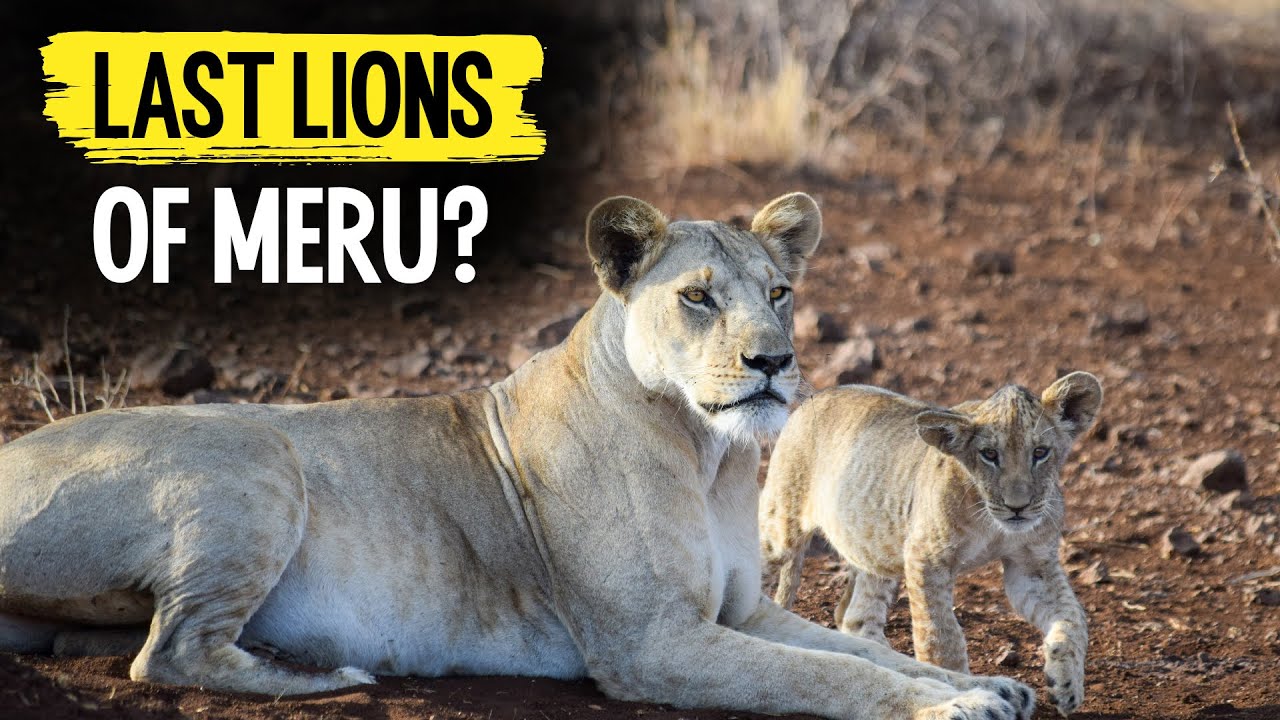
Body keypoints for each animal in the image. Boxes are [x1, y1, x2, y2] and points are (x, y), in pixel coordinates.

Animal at [0, 193, 1034, 720]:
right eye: (699, 297)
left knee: (122, 642)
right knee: (169, 652)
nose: (773, 362)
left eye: (779, 292)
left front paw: (986, 685)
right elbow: (827, 677)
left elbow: (867, 652)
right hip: (255, 453)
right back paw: (324, 678)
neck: (708, 455)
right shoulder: (649, 644)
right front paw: (950, 709)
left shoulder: (741, 612)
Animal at [760, 374, 1103, 716]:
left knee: (854, 615)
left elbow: (1072, 617)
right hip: (781, 529)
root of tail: (818, 394)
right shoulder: (926, 559)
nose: (1017, 507)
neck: (992, 522)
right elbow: (942, 638)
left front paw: (1067, 685)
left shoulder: (1032, 565)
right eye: (990, 454)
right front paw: (967, 690)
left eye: (1040, 452)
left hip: (877, 547)